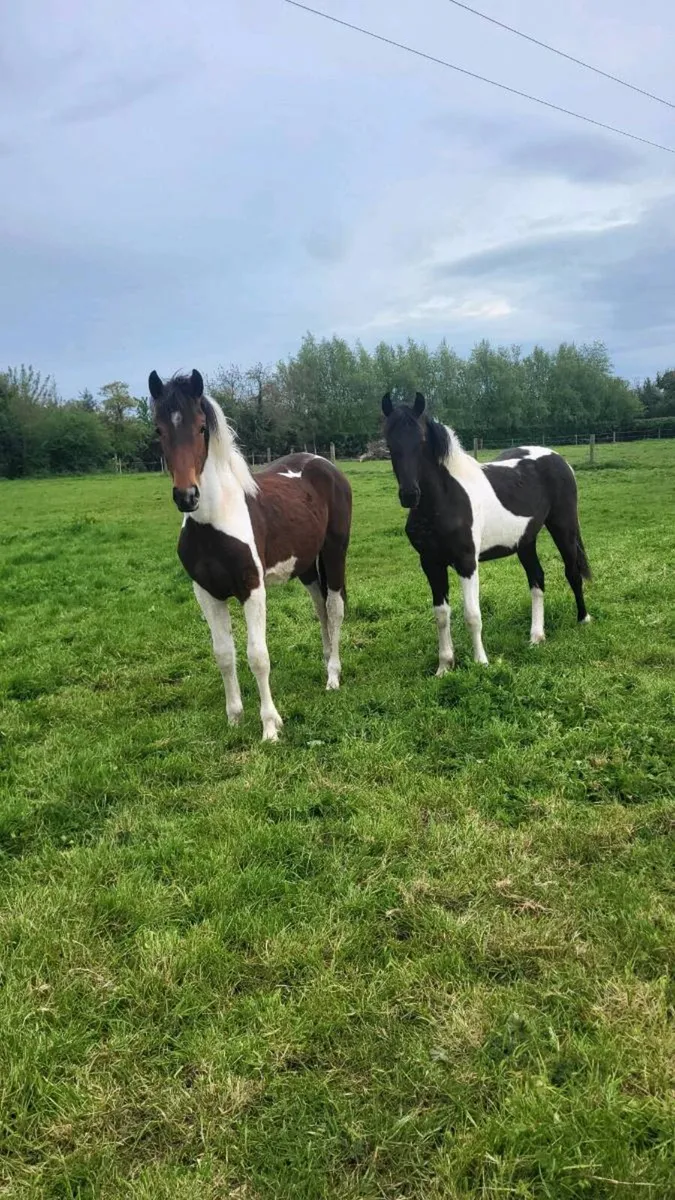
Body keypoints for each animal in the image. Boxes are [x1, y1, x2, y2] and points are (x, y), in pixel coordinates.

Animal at [149, 369, 352, 741]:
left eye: (201, 427)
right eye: (159, 429)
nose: (187, 496)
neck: (214, 521)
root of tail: (324, 464)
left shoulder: (252, 590)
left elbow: (258, 656)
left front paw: (270, 726)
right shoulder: (207, 594)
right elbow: (224, 654)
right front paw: (235, 717)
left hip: (334, 553)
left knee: (334, 607)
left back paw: (333, 675)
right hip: (306, 566)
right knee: (320, 609)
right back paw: (326, 660)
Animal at [382, 391, 592, 673]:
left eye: (422, 440)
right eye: (389, 443)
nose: (409, 495)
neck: (445, 499)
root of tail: (558, 458)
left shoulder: (467, 562)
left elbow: (472, 614)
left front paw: (481, 662)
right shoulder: (430, 563)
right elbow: (441, 615)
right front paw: (444, 666)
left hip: (563, 527)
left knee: (573, 572)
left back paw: (583, 619)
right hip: (526, 541)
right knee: (537, 579)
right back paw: (536, 636)